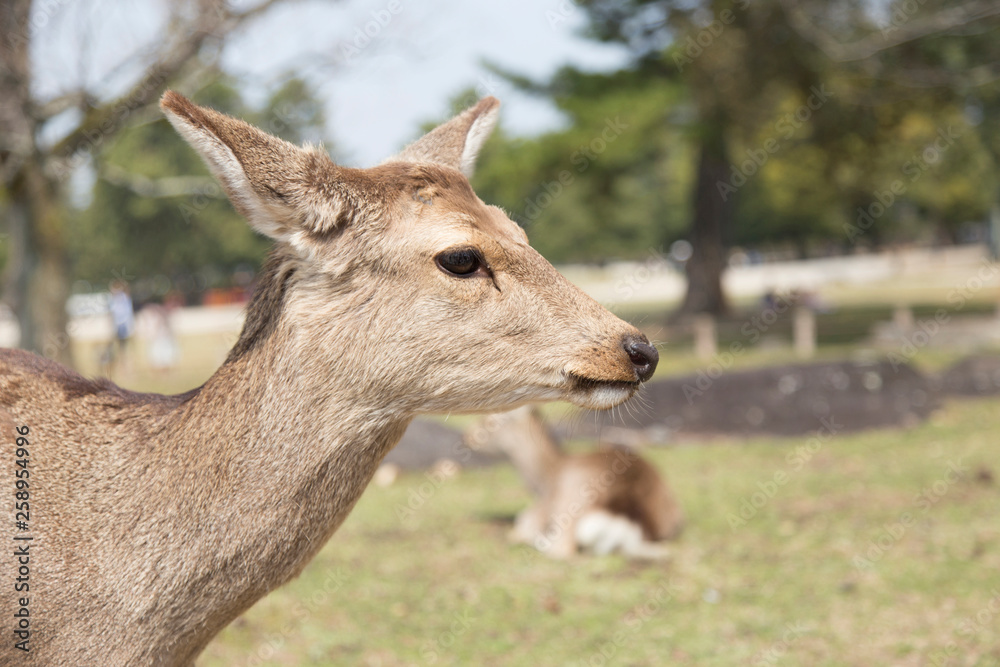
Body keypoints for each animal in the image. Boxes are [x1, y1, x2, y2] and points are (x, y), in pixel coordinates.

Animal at [466, 408, 684, 560]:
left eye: (489, 421)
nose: (469, 438)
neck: (544, 480)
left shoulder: (533, 516)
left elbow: (518, 528)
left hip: (568, 509)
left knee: (561, 550)